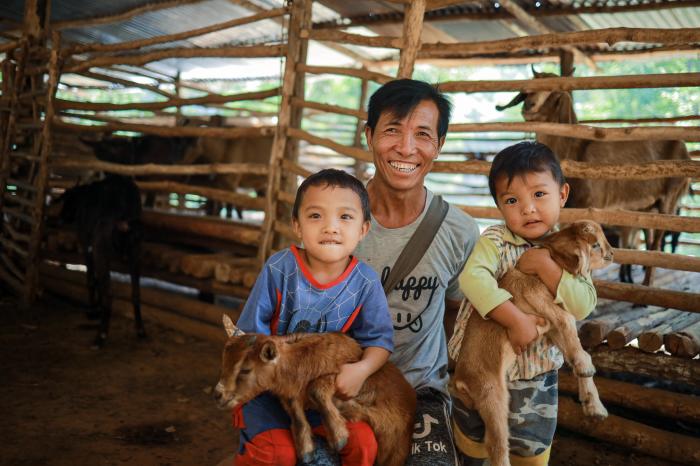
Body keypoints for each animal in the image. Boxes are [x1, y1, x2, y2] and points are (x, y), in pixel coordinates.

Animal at [59, 175, 146, 346]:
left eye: (68, 200)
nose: (62, 217)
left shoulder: (87, 244)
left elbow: (91, 279)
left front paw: (93, 310)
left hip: (101, 249)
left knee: (109, 294)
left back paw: (101, 336)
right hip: (135, 252)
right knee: (135, 292)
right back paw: (140, 330)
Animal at [498, 71, 688, 286]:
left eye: (553, 92)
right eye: (528, 90)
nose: (528, 106)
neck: (573, 149)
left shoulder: (591, 205)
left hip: (670, 196)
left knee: (659, 237)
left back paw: (647, 281)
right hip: (649, 206)